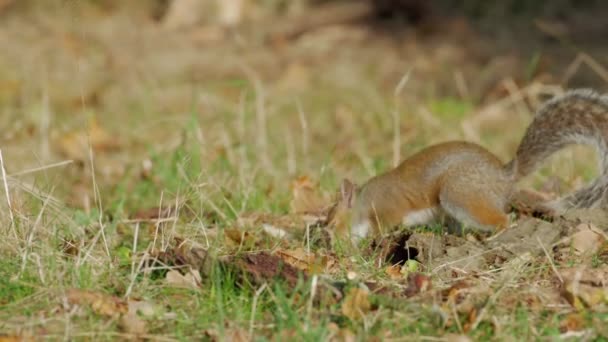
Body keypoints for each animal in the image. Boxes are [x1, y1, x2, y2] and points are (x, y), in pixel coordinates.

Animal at [330, 89, 608, 243]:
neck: (366, 201)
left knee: (503, 220)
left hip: (460, 193)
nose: (333, 245)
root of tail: (505, 175)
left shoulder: (388, 209)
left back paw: (493, 237)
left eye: (333, 222)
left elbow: (383, 228)